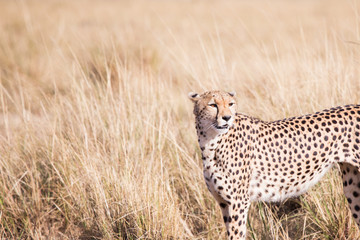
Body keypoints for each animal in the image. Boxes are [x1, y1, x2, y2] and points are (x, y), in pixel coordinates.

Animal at [188, 90, 360, 240]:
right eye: (212, 105)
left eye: (230, 104)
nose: (227, 117)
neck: (210, 142)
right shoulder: (224, 202)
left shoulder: (238, 202)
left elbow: (237, 234)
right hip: (353, 188)